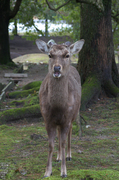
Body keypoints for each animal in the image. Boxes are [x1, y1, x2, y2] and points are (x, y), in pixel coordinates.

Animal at [35, 38, 84, 178]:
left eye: (67, 55)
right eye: (50, 55)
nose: (57, 68)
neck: (58, 107)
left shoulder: (67, 119)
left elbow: (62, 143)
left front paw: (63, 172)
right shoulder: (47, 119)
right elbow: (50, 144)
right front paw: (47, 172)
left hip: (75, 113)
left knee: (71, 131)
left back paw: (68, 155)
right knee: (58, 132)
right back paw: (58, 157)